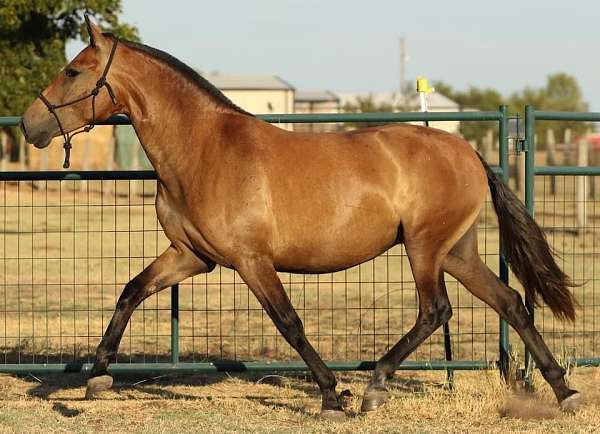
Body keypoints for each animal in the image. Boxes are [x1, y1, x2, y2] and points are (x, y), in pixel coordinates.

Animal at [22, 16, 580, 418]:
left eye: (73, 70)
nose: (30, 125)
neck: (204, 149)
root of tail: (466, 151)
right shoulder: (191, 256)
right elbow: (131, 291)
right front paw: (98, 376)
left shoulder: (251, 261)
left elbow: (289, 322)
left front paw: (333, 396)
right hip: (456, 252)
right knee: (511, 303)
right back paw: (565, 391)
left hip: (424, 248)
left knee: (435, 311)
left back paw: (375, 386)